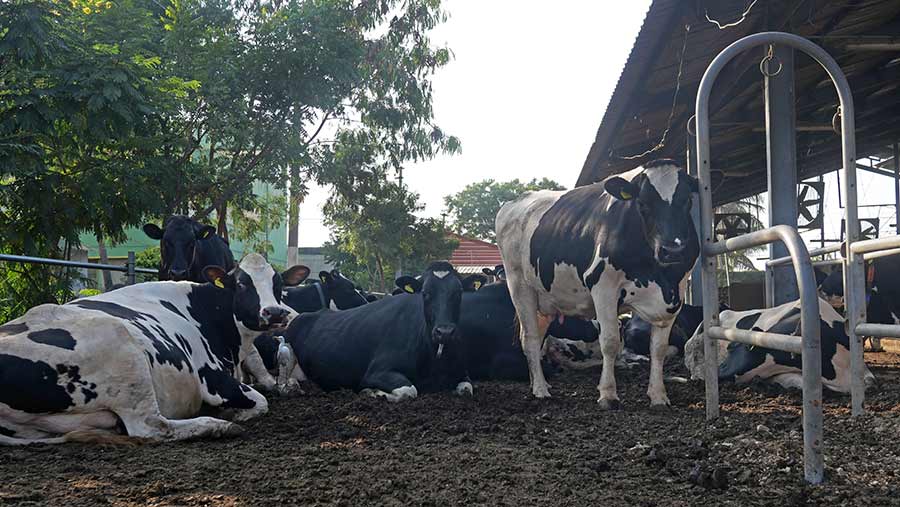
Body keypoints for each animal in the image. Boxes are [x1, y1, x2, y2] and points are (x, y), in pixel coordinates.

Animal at [0, 254, 308, 444]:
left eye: (278, 283)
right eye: (242, 283)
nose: (275, 312)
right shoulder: (212, 379)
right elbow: (260, 402)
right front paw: (231, 414)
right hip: (122, 350)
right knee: (152, 427)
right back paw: (218, 426)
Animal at [284, 262, 468, 400]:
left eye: (459, 292)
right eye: (425, 293)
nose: (444, 332)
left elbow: (466, 388)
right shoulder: (376, 372)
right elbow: (409, 391)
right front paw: (370, 392)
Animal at [496, 159, 700, 408]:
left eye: (687, 200)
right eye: (642, 203)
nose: (672, 250)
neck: (657, 274)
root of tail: (514, 202)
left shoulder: (674, 294)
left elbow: (659, 348)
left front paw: (659, 395)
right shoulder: (603, 287)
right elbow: (610, 342)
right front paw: (608, 394)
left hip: (545, 301)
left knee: (538, 337)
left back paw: (539, 381)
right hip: (519, 285)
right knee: (530, 339)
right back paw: (541, 389)